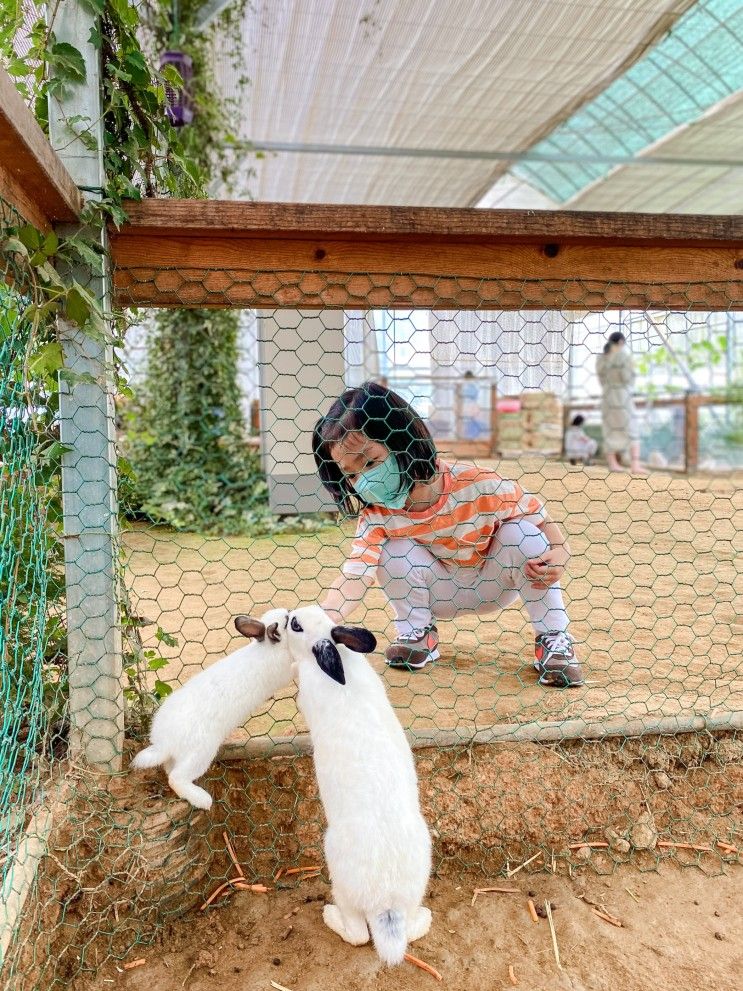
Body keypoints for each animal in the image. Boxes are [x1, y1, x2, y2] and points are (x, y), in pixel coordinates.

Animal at [129, 608, 292, 808]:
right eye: (287, 620)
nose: (292, 612)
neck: (268, 648)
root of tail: (164, 744)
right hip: (201, 753)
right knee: (176, 778)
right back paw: (203, 800)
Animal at [288, 604, 434, 968]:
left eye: (296, 625)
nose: (288, 614)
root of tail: (386, 903)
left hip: (341, 882)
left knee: (357, 935)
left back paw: (329, 916)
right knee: (410, 928)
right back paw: (425, 918)